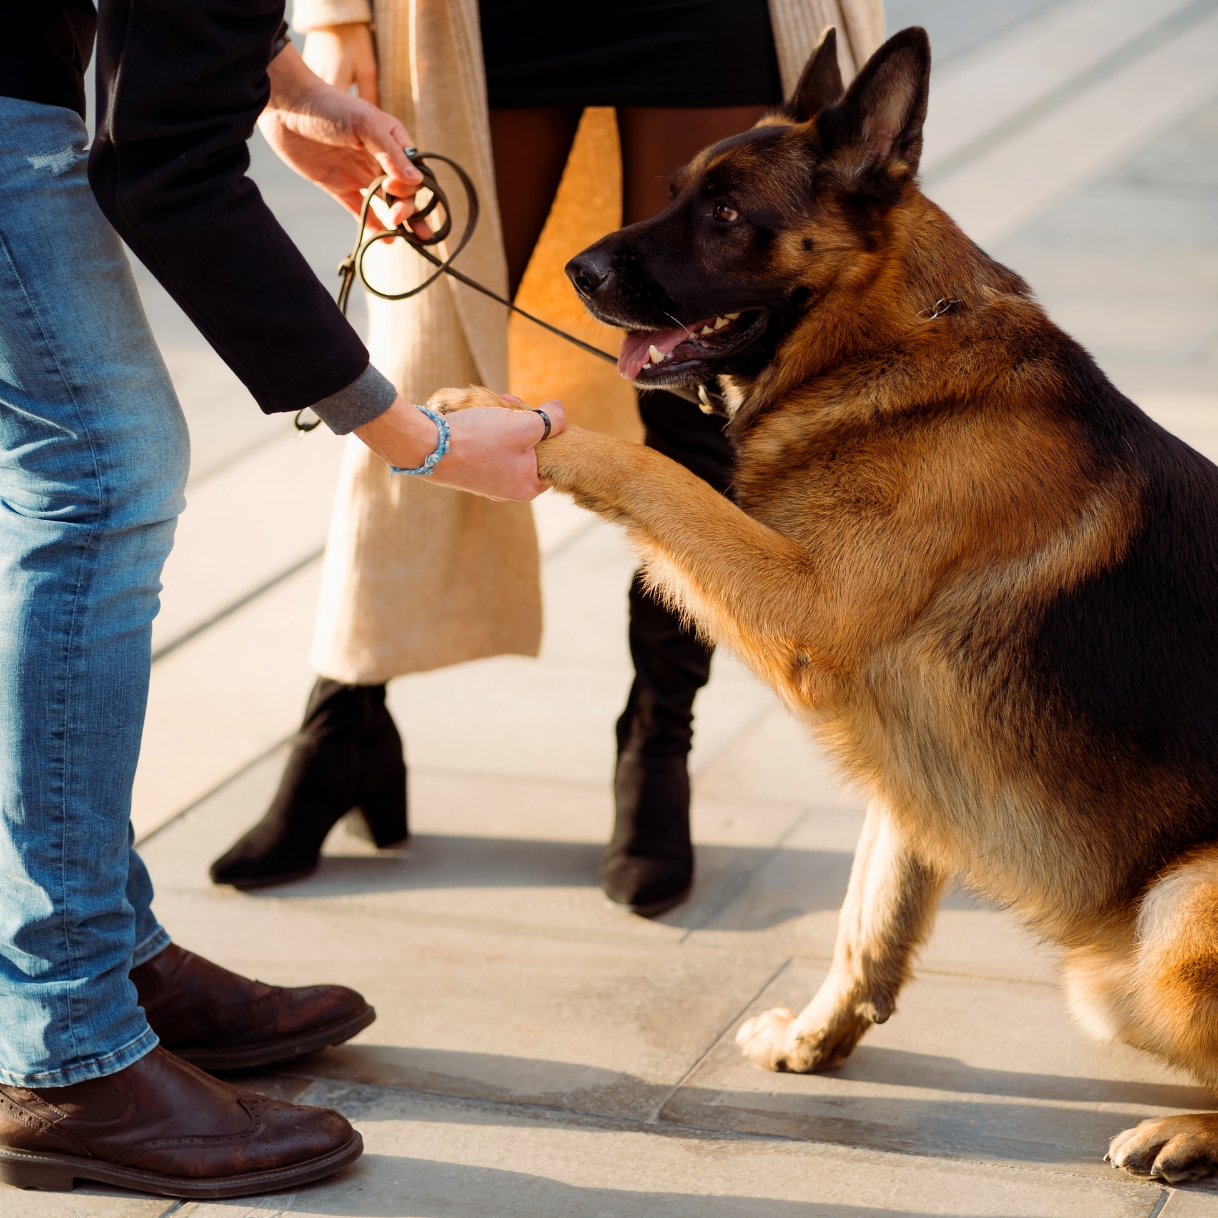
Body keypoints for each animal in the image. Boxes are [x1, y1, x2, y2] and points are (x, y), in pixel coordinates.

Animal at [443, 26, 1218, 1179]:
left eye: (725, 213)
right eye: (675, 192)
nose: (576, 269)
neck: (892, 340)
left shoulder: (802, 606)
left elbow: (660, 474)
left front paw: (513, 423)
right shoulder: (909, 762)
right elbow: (870, 916)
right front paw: (817, 1041)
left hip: (1174, 909)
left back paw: (1189, 1131)